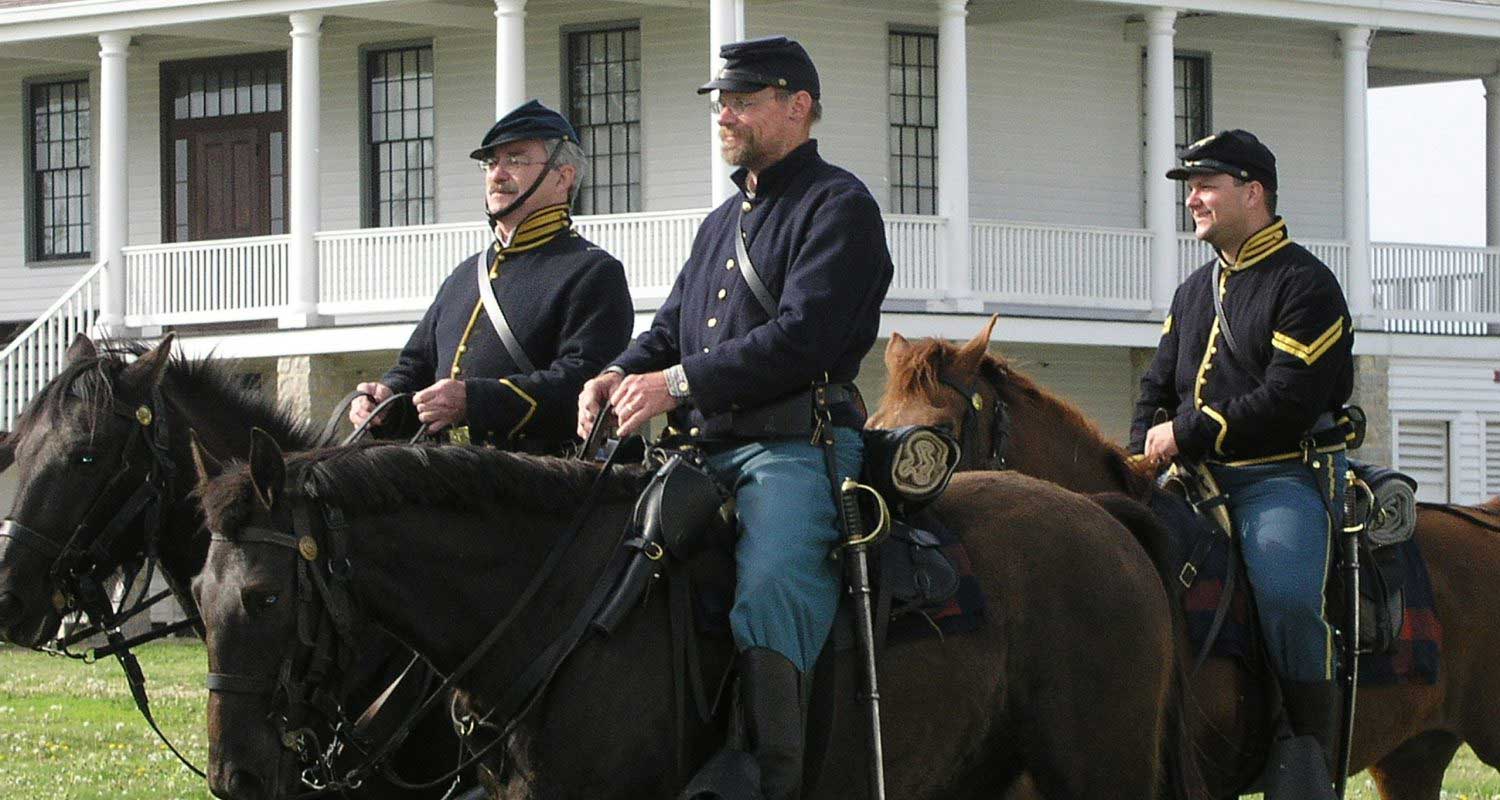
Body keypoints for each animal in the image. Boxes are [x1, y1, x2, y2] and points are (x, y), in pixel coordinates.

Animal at [193, 429, 1212, 798]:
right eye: (196, 600)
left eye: (265, 596)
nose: (237, 774)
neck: (562, 612)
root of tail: (1108, 520)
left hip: (1098, 773)